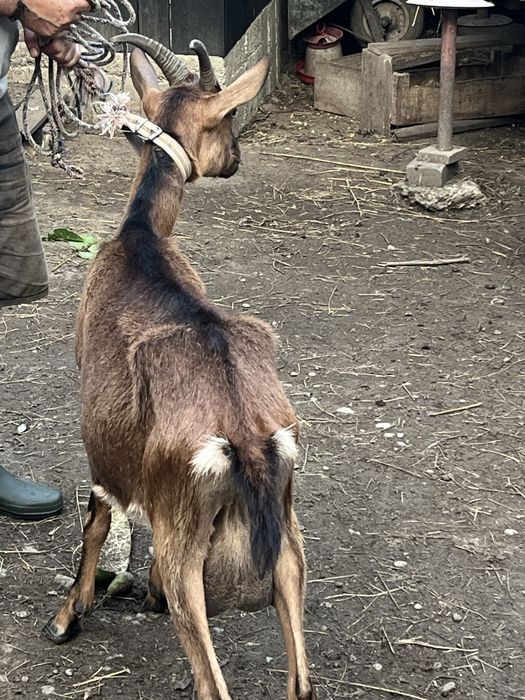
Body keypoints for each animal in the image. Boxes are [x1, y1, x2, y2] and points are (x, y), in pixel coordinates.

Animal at [44, 36, 316, 700]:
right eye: (225, 122)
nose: (237, 158)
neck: (142, 238)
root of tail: (246, 441)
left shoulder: (105, 452)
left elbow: (96, 519)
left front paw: (69, 615)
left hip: (184, 536)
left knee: (212, 682)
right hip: (287, 540)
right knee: (300, 682)